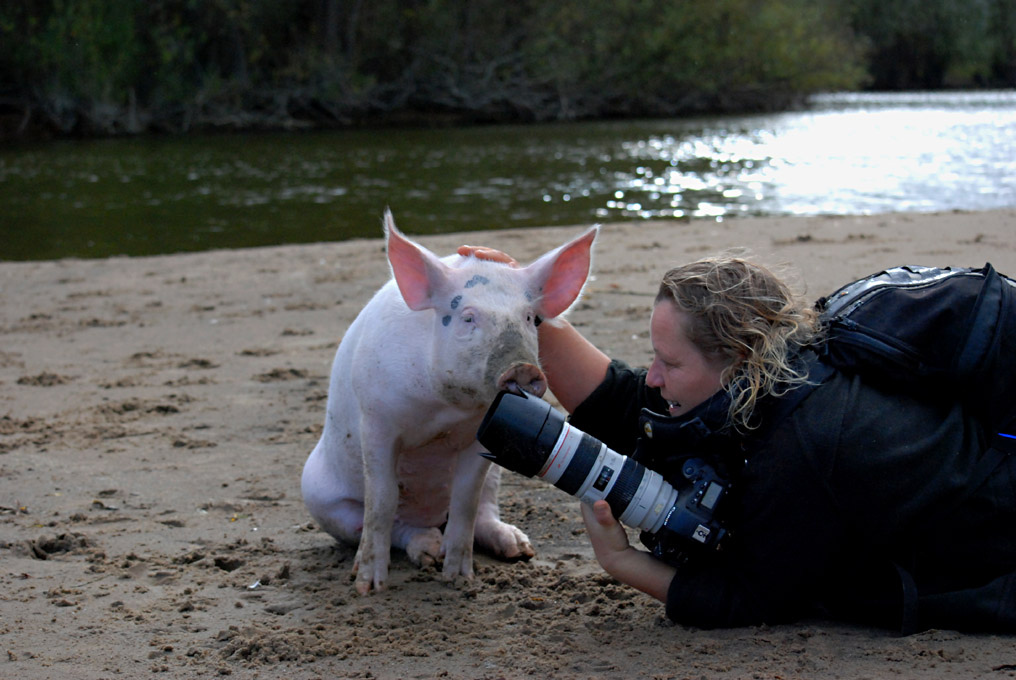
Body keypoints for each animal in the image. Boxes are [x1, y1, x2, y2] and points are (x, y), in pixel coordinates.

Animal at [296, 209, 593, 589]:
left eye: (530, 318)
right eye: (467, 317)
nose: (524, 367)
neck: (445, 411)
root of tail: (430, 516)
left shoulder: (479, 437)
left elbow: (466, 499)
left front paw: (460, 580)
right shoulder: (375, 420)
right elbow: (382, 499)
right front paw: (368, 586)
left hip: (497, 474)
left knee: (481, 509)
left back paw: (518, 548)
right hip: (319, 498)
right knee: (388, 525)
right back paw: (428, 549)